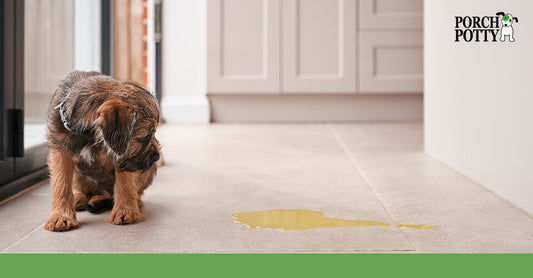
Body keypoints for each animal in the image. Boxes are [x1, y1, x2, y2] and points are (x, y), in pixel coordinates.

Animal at [44, 70, 160, 231]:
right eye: (145, 136)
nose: (157, 157)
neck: (88, 134)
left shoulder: (121, 156)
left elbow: (125, 183)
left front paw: (125, 211)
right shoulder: (60, 150)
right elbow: (61, 184)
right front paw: (60, 216)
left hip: (146, 172)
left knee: (130, 191)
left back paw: (135, 202)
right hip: (78, 175)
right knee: (89, 192)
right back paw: (79, 198)